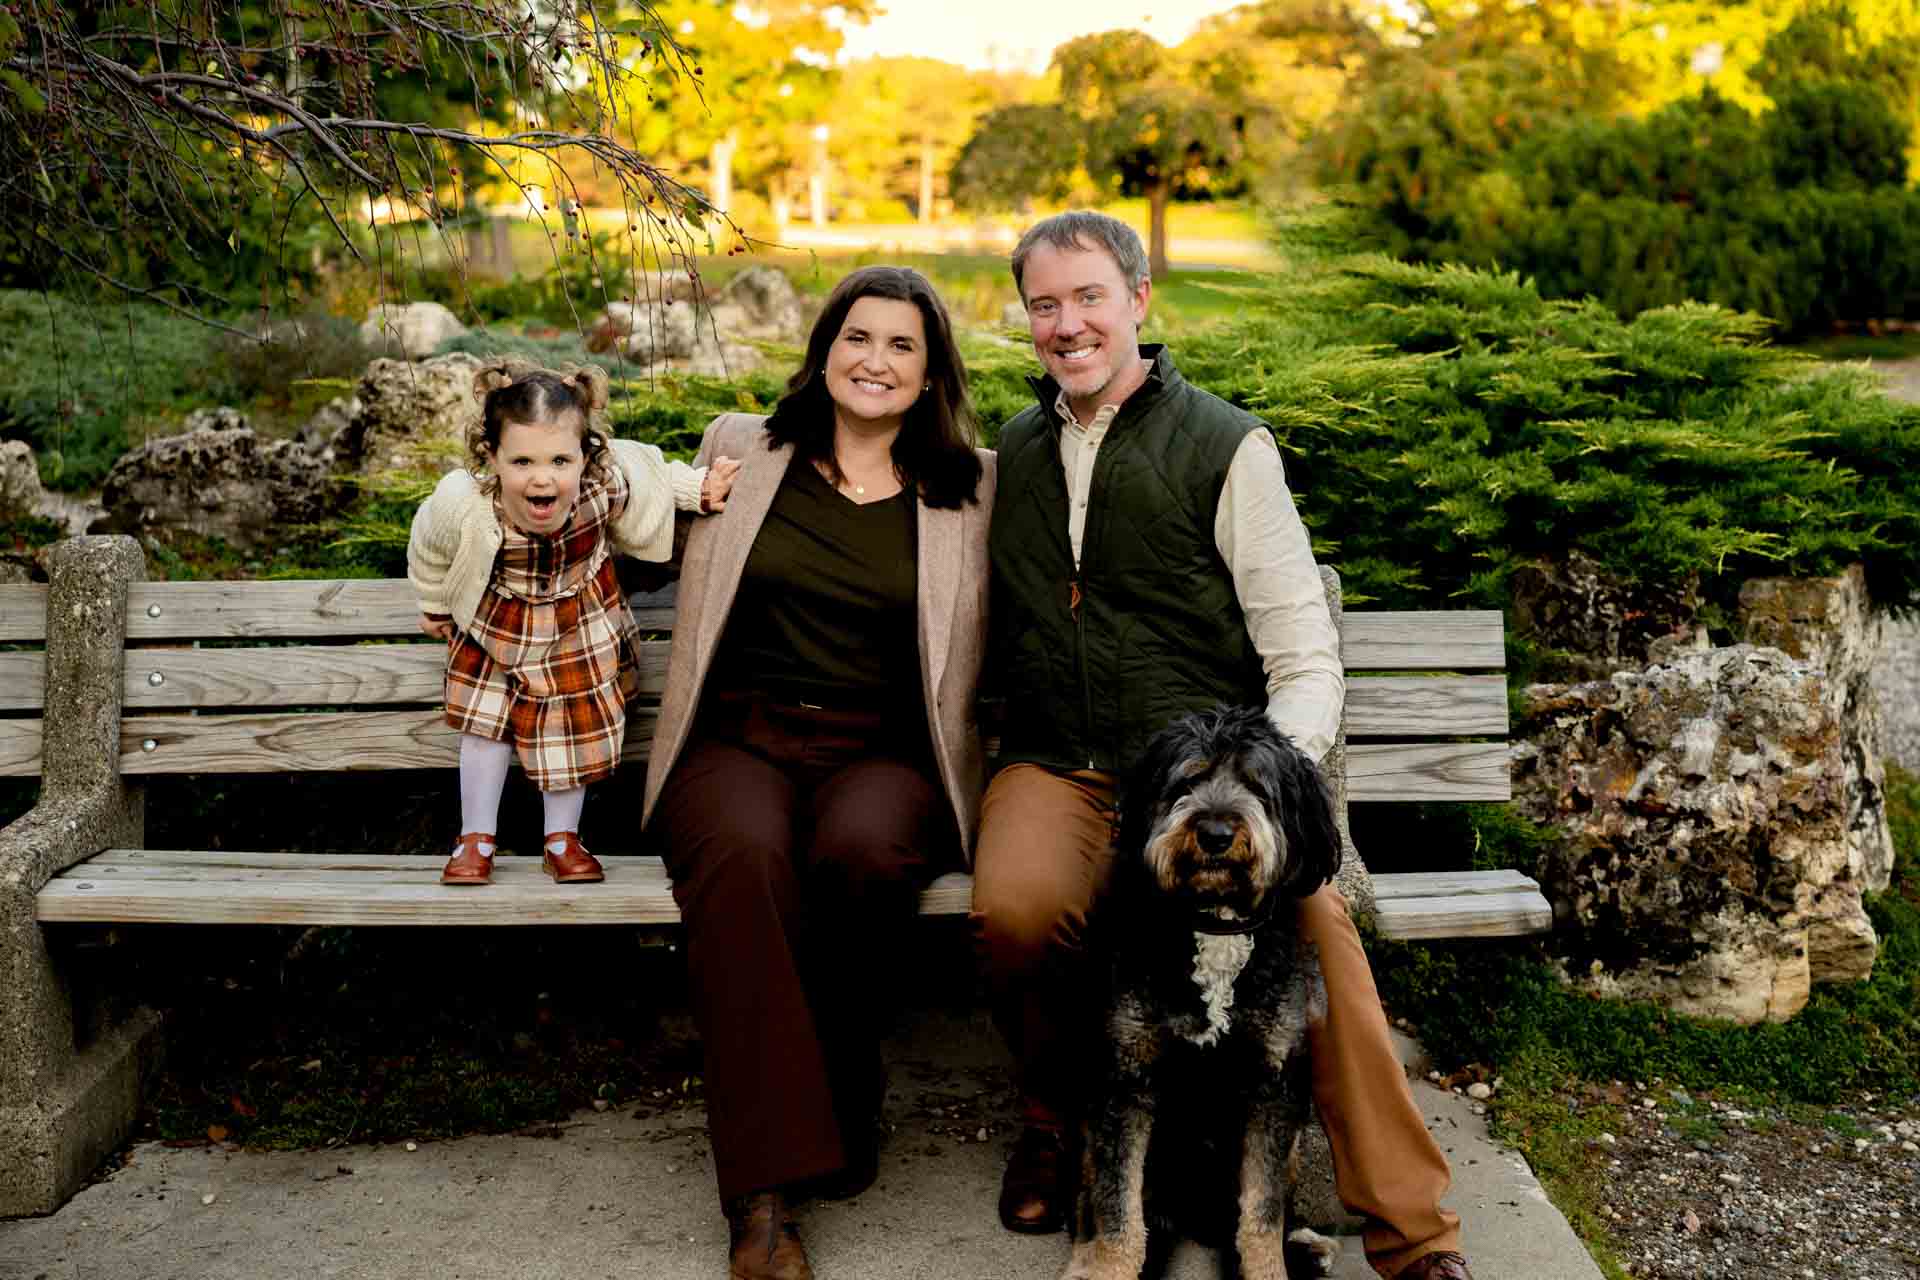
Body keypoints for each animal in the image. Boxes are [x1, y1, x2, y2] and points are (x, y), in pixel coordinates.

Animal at [1067, 706, 1351, 1274]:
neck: (1215, 926)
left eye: (1258, 786)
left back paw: (1305, 1246)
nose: (1217, 833)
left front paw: (1267, 1271)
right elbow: (1118, 1207)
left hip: (1286, 1148)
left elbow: (1261, 1216)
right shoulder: (1125, 1079)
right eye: (1187, 781)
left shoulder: (1272, 1085)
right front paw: (1111, 1268)